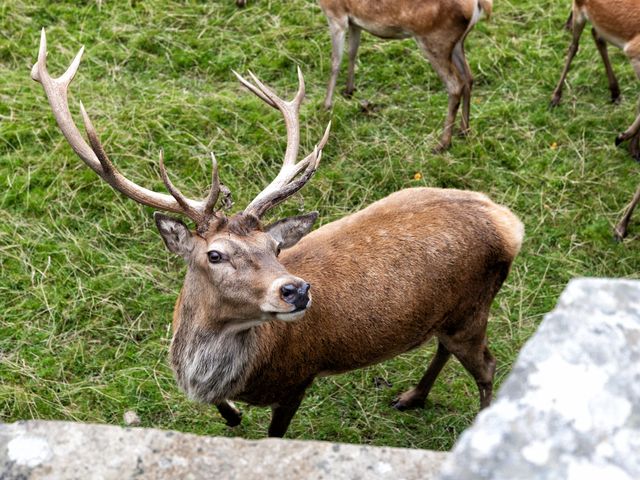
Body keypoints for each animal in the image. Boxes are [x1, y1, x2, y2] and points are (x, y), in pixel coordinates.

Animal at [32, 29, 524, 436]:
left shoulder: (299, 377)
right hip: (454, 314)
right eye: (215, 254)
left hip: (473, 308)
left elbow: (274, 433)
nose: (297, 290)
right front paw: (232, 415)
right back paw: (412, 397)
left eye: (274, 247)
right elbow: (226, 412)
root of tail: (508, 223)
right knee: (445, 349)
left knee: (487, 366)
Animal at [320, 0, 496, 150]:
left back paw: (442, 144)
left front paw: (326, 106)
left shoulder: (335, 14)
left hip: (434, 40)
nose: (348, 92)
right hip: (457, 42)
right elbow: (352, 52)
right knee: (468, 77)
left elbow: (335, 61)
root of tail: (480, 5)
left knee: (455, 84)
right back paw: (464, 130)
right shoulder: (354, 23)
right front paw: (348, 91)